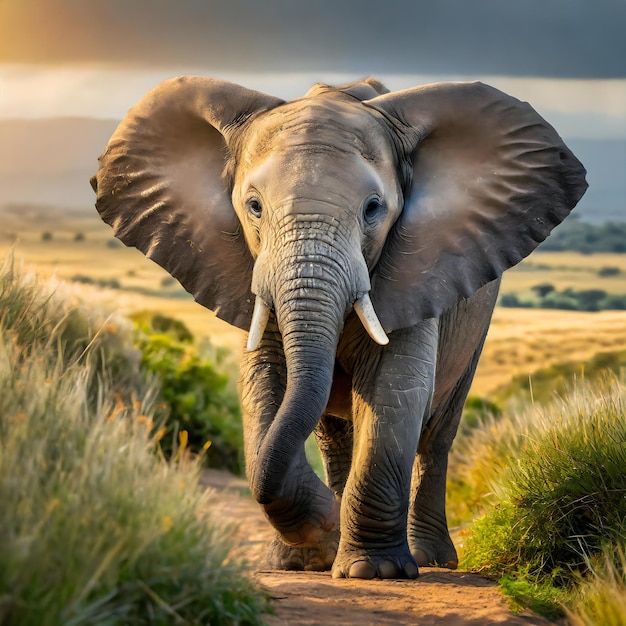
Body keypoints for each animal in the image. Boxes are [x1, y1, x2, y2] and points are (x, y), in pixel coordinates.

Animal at [91, 75, 584, 576]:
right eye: (253, 206)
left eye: (373, 208)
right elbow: (264, 385)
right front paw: (319, 538)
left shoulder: (416, 270)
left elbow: (393, 387)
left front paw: (375, 571)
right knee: (333, 434)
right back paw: (312, 557)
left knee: (437, 434)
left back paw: (430, 558)